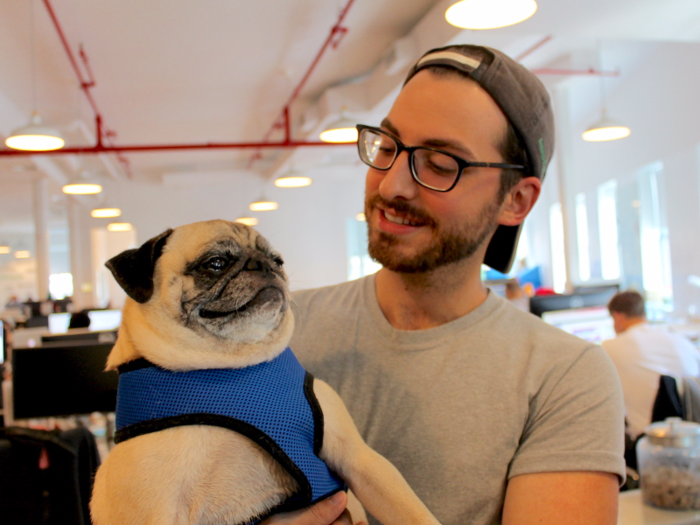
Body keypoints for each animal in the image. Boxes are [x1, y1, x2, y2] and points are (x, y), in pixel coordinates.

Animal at [87, 219, 438, 524]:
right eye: (215, 263)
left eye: (278, 261)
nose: (264, 265)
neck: (231, 367)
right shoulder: (152, 510)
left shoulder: (359, 457)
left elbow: (410, 511)